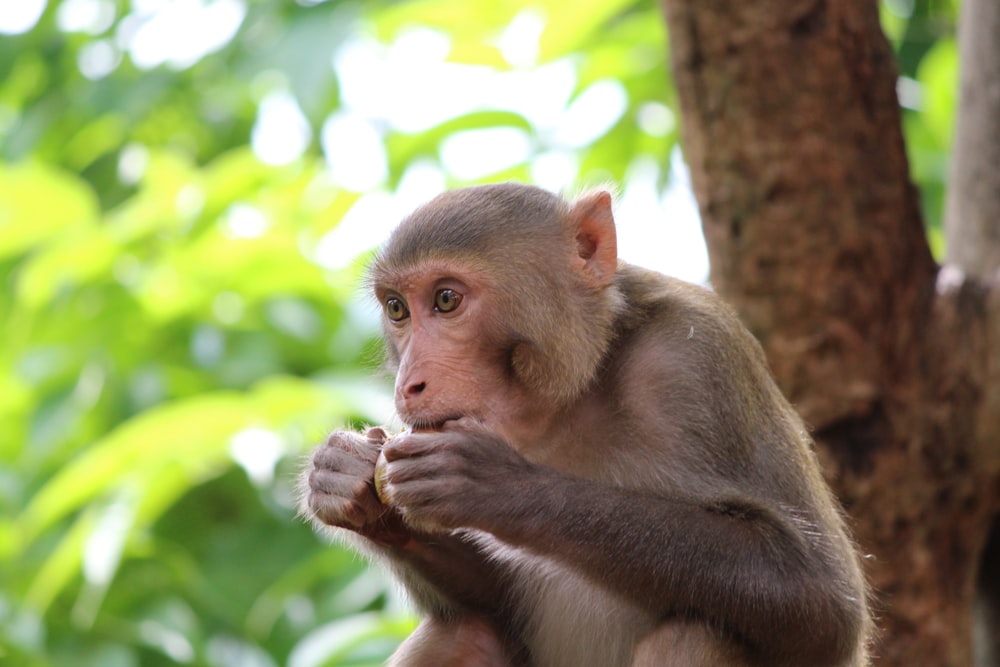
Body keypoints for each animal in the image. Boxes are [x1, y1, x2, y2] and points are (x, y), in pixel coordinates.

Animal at [300, 184, 872, 667]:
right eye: (397, 309)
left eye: (446, 299)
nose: (408, 385)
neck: (576, 391)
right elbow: (492, 602)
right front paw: (349, 482)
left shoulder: (698, 357)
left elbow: (823, 603)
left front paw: (499, 486)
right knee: (463, 630)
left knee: (698, 630)